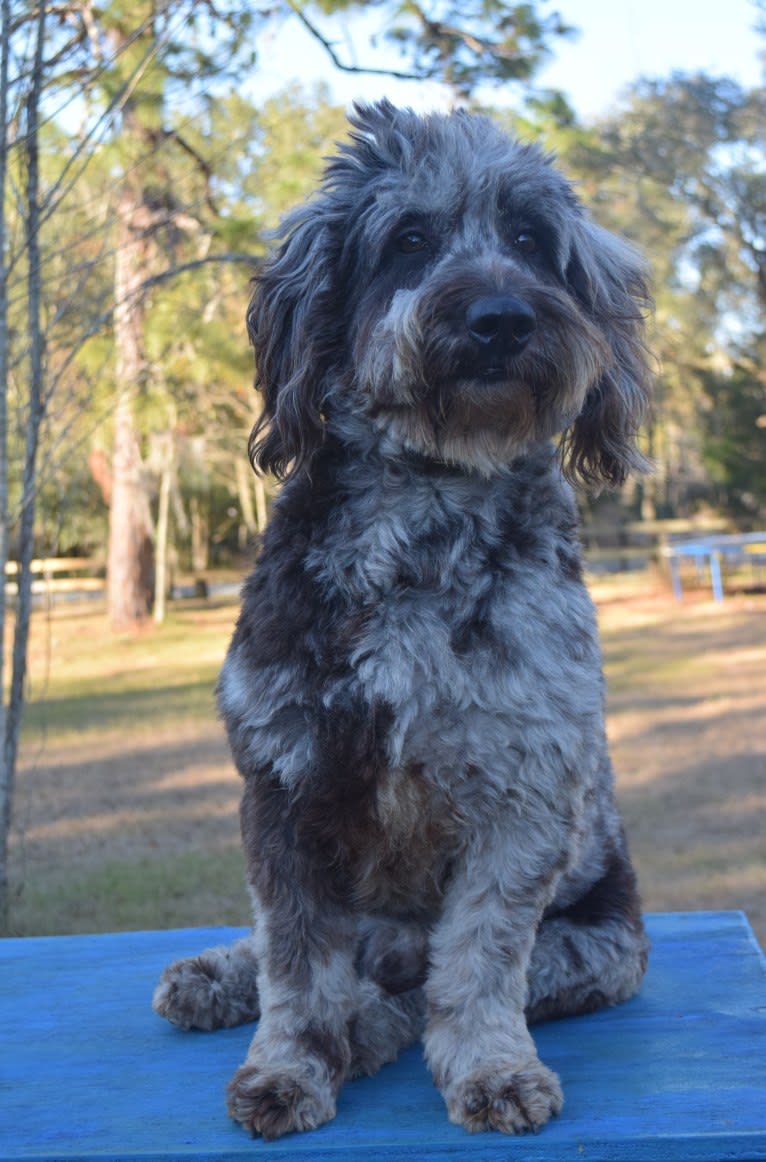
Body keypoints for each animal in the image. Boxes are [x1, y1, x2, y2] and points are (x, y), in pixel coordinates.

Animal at [154, 97, 655, 1134]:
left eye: (530, 239)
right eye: (410, 239)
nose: (500, 319)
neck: (425, 513)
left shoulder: (522, 796)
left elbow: (475, 965)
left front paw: (491, 1069)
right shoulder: (284, 781)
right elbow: (295, 962)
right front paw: (288, 1066)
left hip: (598, 948)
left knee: (412, 981)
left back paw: (370, 1024)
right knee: (307, 955)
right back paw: (220, 976)